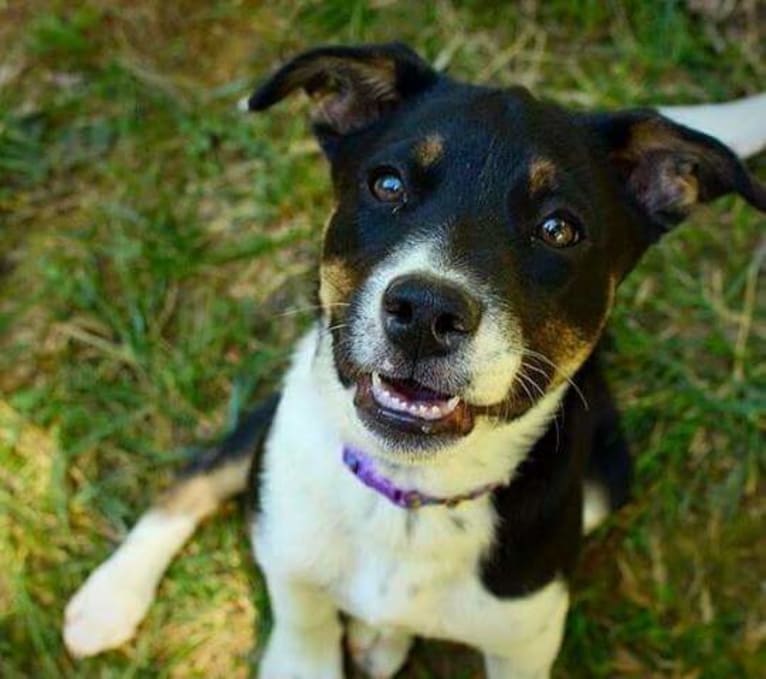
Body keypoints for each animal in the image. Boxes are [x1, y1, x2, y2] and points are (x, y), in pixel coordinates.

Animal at [63, 43, 764, 679]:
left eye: (559, 229)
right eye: (388, 184)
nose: (426, 313)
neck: (410, 500)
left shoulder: (525, 639)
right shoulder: (291, 564)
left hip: (607, 474)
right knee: (207, 468)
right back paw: (108, 598)